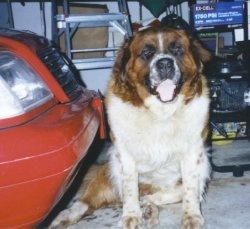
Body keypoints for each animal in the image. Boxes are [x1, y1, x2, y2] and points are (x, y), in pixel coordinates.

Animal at [50, 26, 211, 229]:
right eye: (146, 53)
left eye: (177, 49)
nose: (165, 64)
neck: (160, 113)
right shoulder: (124, 155)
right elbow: (129, 188)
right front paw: (131, 215)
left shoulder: (194, 154)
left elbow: (190, 188)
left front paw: (191, 216)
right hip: (109, 170)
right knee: (86, 201)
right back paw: (65, 216)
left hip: (203, 168)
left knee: (165, 194)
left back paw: (149, 208)